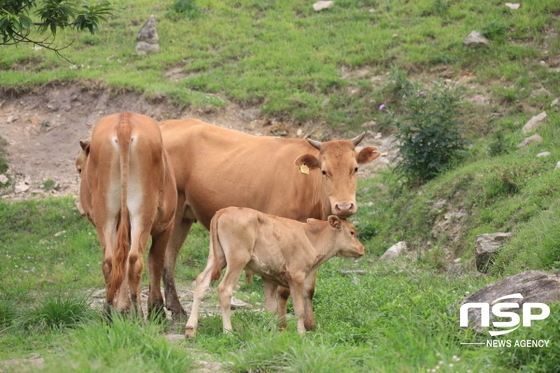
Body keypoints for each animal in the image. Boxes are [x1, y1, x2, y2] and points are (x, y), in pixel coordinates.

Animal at [77, 112, 177, 316]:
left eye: (79, 169)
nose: (80, 208)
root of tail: (124, 121)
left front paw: (122, 307)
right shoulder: (166, 225)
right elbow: (156, 261)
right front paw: (156, 310)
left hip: (106, 216)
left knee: (110, 262)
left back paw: (107, 314)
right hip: (142, 214)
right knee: (134, 260)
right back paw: (139, 315)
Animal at [186, 206, 366, 338]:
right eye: (352, 232)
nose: (362, 249)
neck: (310, 238)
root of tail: (226, 210)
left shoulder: (269, 278)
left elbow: (271, 308)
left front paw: (272, 332)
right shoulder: (296, 276)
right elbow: (299, 308)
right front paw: (301, 334)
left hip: (217, 257)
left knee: (201, 282)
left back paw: (190, 330)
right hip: (237, 258)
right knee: (225, 289)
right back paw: (228, 333)